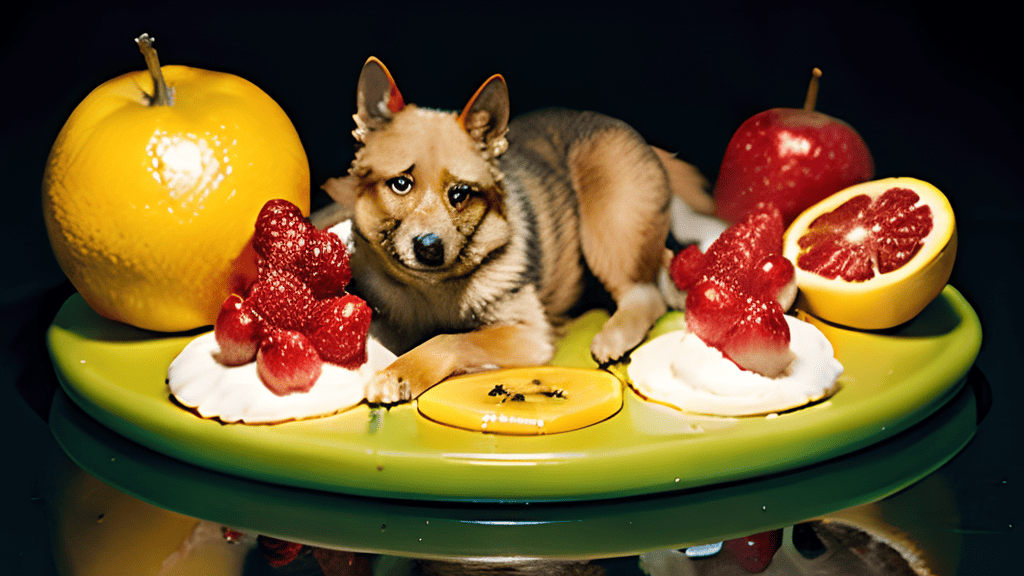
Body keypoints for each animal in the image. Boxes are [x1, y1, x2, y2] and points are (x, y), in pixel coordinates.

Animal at [315, 56, 708, 401]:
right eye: (400, 184)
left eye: (460, 193)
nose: (429, 248)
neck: (432, 290)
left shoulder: (527, 335)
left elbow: (450, 339)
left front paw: (401, 373)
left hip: (607, 224)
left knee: (645, 295)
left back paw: (614, 337)